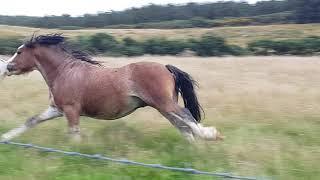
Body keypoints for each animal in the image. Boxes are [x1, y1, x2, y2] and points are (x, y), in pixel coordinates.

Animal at [0, 34, 224, 142]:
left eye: (19, 52)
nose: (7, 68)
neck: (64, 71)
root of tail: (166, 67)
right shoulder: (57, 109)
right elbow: (32, 120)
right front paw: (5, 138)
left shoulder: (71, 110)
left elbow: (74, 135)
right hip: (163, 107)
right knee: (183, 126)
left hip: (165, 104)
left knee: (186, 116)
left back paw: (210, 135)